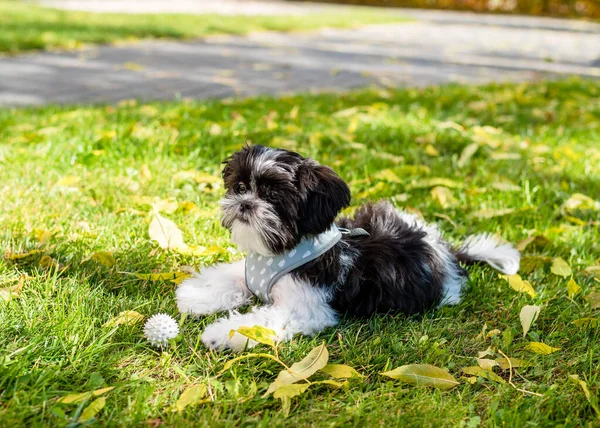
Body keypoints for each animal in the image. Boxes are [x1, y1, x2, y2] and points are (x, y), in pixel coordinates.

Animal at [175, 145, 520, 350]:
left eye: (273, 197)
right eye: (240, 187)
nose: (245, 204)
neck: (280, 251)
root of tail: (443, 251)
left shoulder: (305, 307)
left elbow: (259, 320)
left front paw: (221, 333)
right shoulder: (251, 272)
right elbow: (229, 277)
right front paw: (196, 296)